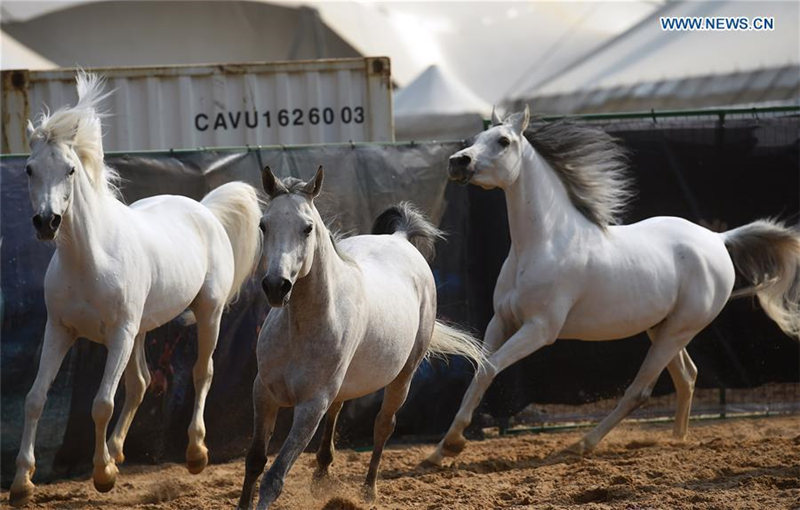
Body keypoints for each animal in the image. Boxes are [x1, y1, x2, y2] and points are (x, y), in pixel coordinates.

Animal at [9, 72, 262, 506]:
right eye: (28, 169)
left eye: (70, 170)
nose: (46, 222)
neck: (89, 260)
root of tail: (205, 210)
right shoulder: (60, 330)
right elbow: (35, 398)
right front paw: (22, 483)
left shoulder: (119, 335)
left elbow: (101, 403)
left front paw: (103, 475)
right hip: (141, 330)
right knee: (141, 382)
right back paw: (116, 452)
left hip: (206, 314)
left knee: (202, 372)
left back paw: (195, 452)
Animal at [236, 165, 488, 508]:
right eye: (264, 225)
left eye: (307, 228)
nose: (277, 286)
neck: (299, 328)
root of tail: (400, 238)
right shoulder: (263, 393)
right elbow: (254, 461)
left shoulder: (310, 406)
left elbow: (274, 476)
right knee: (337, 412)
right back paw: (321, 478)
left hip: (402, 377)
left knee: (383, 425)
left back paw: (368, 490)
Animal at [428, 106, 800, 466]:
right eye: (476, 138)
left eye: (503, 141)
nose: (458, 162)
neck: (541, 245)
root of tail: (717, 239)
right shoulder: (501, 321)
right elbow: (480, 371)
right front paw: (441, 450)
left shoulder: (540, 329)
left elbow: (491, 367)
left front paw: (453, 444)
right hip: (661, 328)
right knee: (687, 376)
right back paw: (676, 441)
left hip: (679, 329)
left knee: (641, 390)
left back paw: (581, 444)